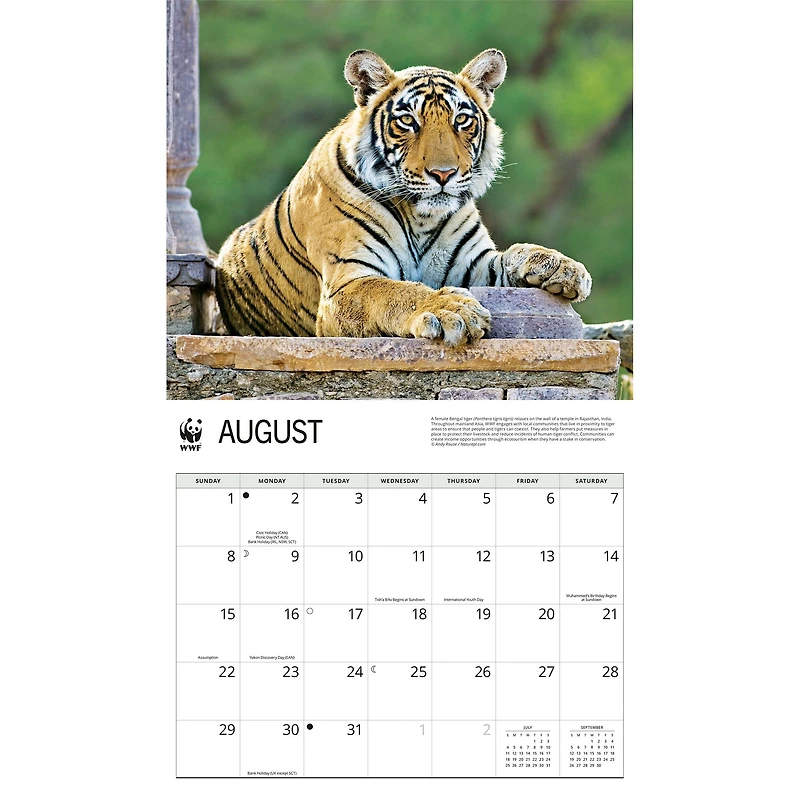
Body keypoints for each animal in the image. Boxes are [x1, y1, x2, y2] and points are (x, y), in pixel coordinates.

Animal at [214, 48, 591, 346]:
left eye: (461, 119)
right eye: (408, 121)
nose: (443, 174)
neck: (421, 218)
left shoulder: (474, 265)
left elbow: (514, 254)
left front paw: (563, 267)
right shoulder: (348, 282)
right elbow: (396, 292)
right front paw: (451, 310)